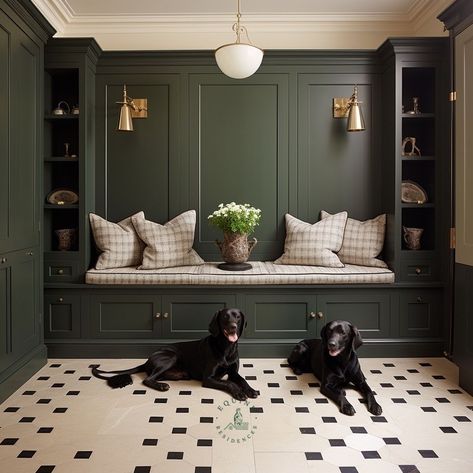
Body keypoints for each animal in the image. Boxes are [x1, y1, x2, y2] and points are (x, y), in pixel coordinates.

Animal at [91, 308, 258, 400]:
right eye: (225, 317)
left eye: (237, 317)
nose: (233, 327)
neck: (226, 347)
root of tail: (147, 360)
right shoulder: (208, 378)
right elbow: (230, 383)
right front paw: (239, 393)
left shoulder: (233, 373)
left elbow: (242, 380)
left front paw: (250, 390)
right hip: (171, 357)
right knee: (147, 379)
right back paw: (161, 386)